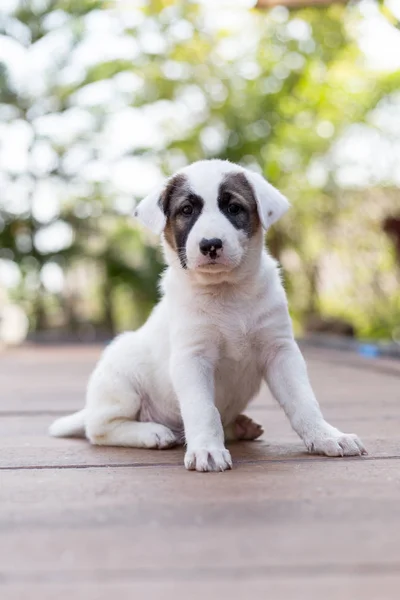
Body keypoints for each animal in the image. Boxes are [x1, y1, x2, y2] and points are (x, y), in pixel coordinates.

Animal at [49, 162, 366, 472]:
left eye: (234, 208)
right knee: (99, 429)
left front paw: (326, 436)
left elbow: (303, 400)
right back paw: (153, 432)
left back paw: (239, 427)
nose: (210, 244)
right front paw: (207, 450)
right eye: (187, 210)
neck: (227, 294)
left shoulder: (281, 351)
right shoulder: (192, 358)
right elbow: (202, 409)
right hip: (121, 380)